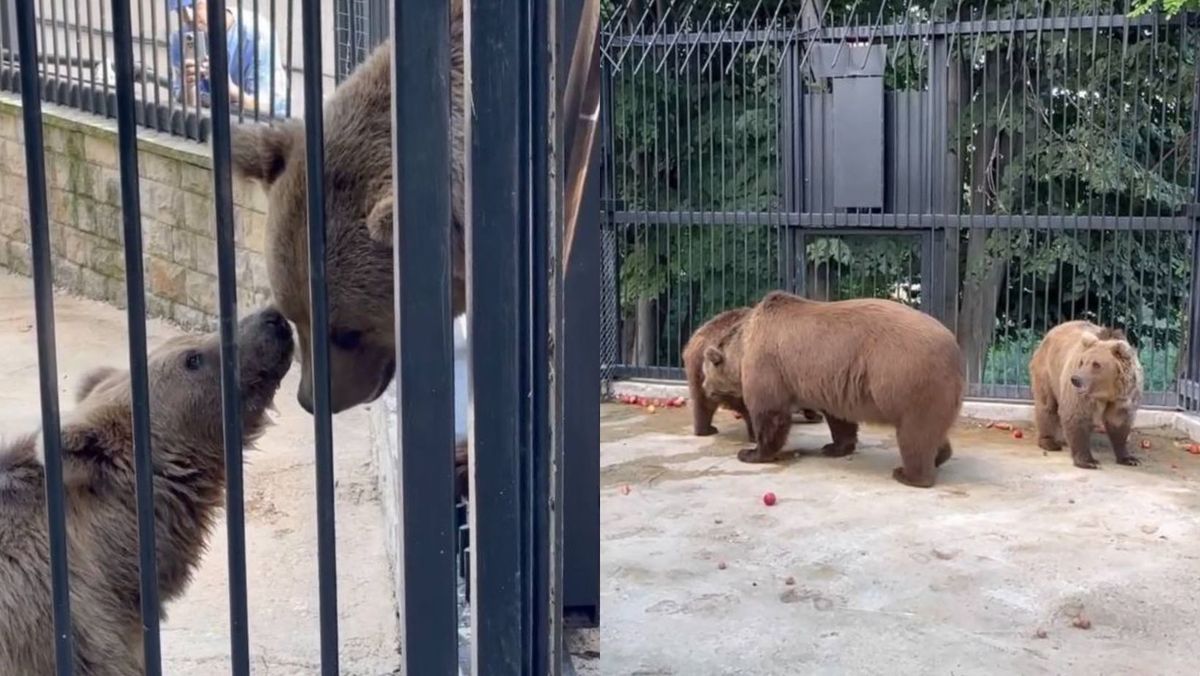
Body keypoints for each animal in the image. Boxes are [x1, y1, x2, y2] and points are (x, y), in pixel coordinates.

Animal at [700, 290, 964, 487]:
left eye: (705, 372)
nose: (704, 387)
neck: (742, 345)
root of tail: (955, 348)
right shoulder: (832, 382)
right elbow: (840, 420)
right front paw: (834, 447)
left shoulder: (768, 364)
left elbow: (770, 412)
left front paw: (751, 453)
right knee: (931, 430)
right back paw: (940, 455)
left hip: (909, 380)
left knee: (914, 434)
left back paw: (908, 474)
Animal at [1022, 321, 1142, 470]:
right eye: (1082, 362)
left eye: (1096, 364)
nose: (1075, 379)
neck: (1107, 392)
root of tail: (1052, 330)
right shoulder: (1082, 395)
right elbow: (1077, 415)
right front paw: (1089, 461)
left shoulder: (1124, 397)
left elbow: (1119, 422)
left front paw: (1129, 458)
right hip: (1047, 372)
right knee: (1046, 405)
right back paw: (1049, 442)